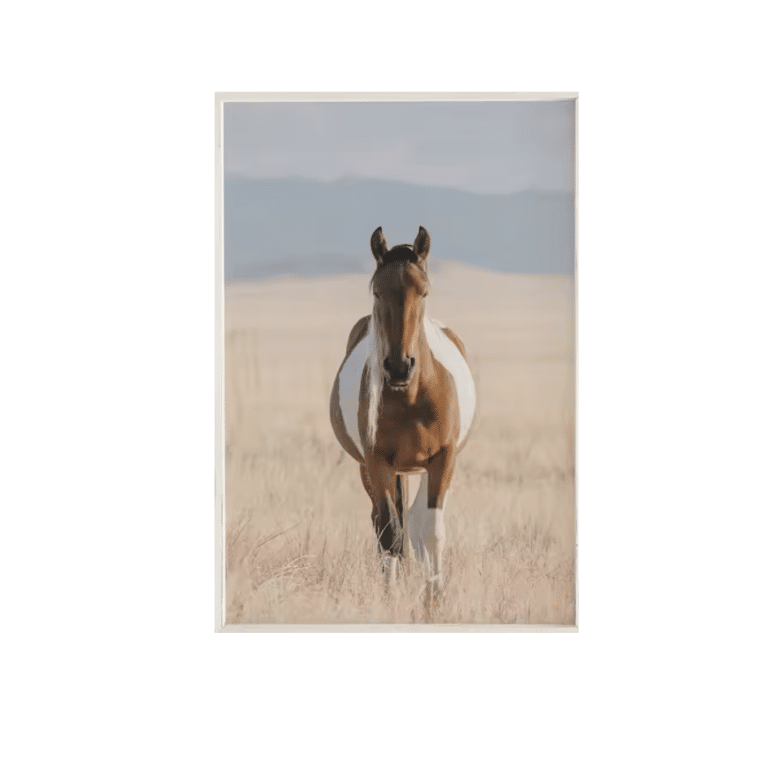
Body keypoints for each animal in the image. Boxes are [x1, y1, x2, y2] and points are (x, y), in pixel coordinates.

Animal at [330, 226, 476, 595]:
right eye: (377, 291)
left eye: (424, 291)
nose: (398, 367)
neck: (411, 397)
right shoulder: (376, 461)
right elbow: (390, 533)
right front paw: (391, 596)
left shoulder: (443, 459)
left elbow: (431, 531)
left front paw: (435, 596)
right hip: (375, 469)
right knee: (387, 524)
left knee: (415, 519)